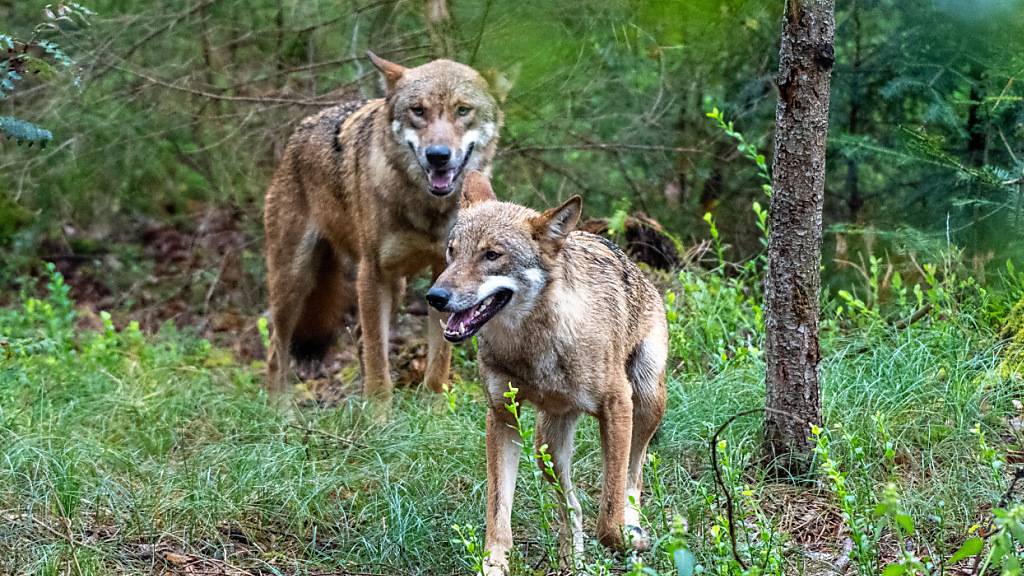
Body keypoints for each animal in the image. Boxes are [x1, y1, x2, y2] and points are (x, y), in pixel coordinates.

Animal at [262, 51, 505, 399]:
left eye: (463, 110)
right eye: (418, 110)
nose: (438, 155)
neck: (427, 208)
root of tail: (300, 131)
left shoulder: (445, 277)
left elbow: (437, 364)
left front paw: (434, 406)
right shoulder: (372, 273)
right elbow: (379, 367)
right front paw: (378, 411)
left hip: (394, 287)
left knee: (358, 337)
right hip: (293, 282)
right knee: (276, 351)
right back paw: (278, 407)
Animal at [425, 170, 671, 569]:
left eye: (491, 255)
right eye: (452, 251)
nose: (435, 297)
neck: (534, 346)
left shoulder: (617, 405)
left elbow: (610, 514)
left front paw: (629, 539)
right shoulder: (502, 416)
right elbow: (498, 513)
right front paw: (493, 565)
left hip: (647, 401)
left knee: (634, 477)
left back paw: (633, 527)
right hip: (547, 447)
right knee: (572, 507)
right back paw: (572, 562)